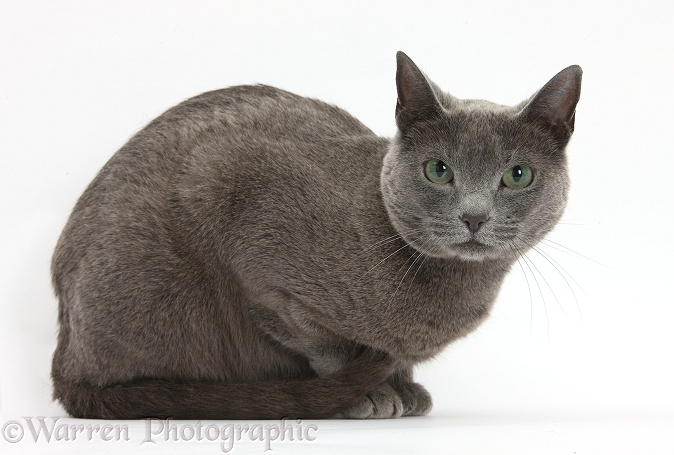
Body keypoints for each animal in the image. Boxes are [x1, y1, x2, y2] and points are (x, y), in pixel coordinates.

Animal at [51, 51, 576, 418]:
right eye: (438, 170)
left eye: (517, 176)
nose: (474, 216)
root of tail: (63, 352)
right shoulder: (237, 207)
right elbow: (324, 344)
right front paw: (366, 394)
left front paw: (403, 387)